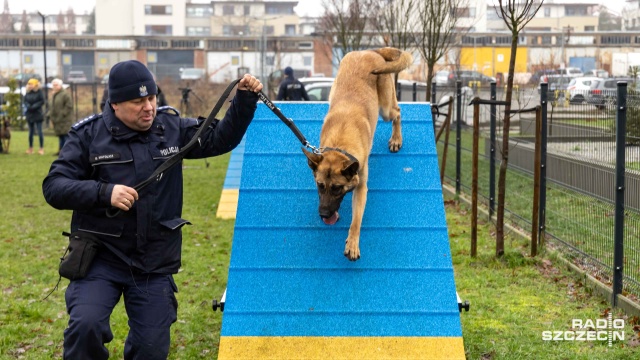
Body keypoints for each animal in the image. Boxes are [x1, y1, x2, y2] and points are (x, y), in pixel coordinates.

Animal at [302, 47, 412, 262]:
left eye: (337, 188)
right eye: (320, 185)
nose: (323, 215)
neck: (340, 143)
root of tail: (369, 50)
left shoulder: (361, 188)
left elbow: (356, 220)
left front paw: (352, 244)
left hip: (385, 108)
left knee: (397, 111)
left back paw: (396, 139)